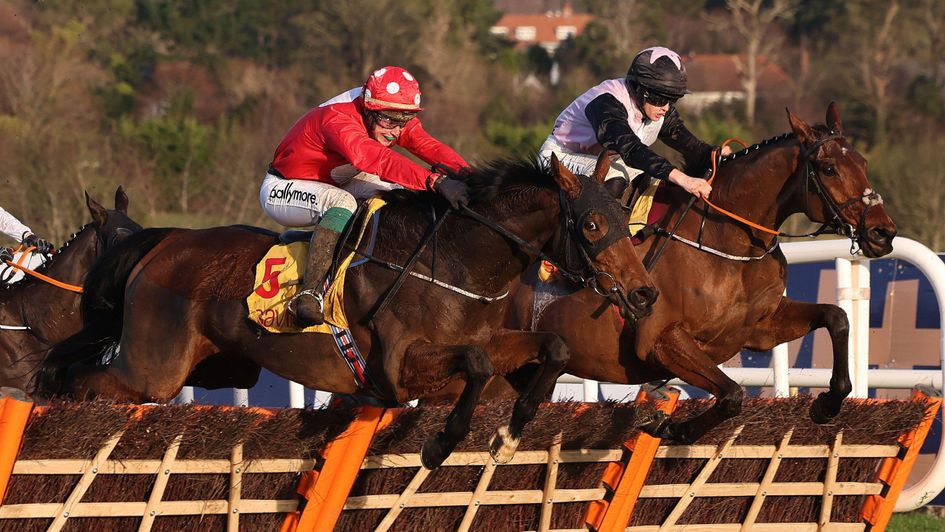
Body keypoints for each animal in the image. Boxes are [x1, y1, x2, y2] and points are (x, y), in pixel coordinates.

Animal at [37, 153, 656, 466]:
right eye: (592, 224)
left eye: (626, 220)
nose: (644, 293)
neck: (456, 259)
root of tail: (163, 242)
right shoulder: (399, 366)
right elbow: (475, 369)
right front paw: (442, 442)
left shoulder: (491, 339)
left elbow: (552, 347)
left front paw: (511, 430)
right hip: (151, 368)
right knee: (81, 380)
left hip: (198, 366)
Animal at [484, 103, 896, 440]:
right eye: (828, 169)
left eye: (863, 164)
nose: (883, 232)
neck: (725, 241)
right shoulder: (661, 341)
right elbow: (731, 394)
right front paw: (671, 427)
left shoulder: (758, 329)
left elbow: (836, 317)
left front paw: (827, 403)